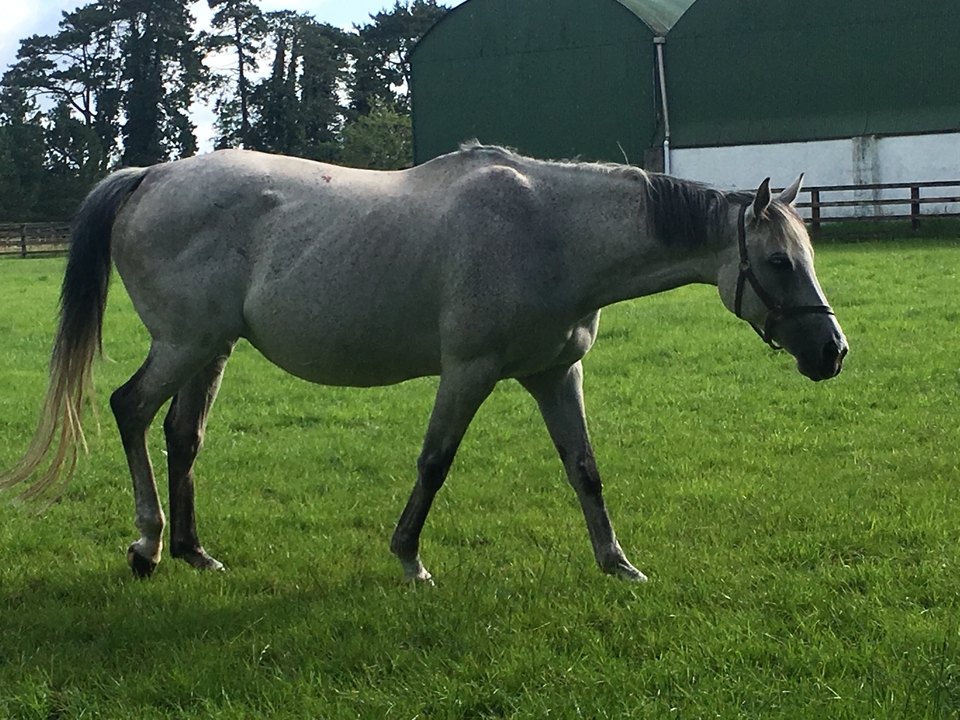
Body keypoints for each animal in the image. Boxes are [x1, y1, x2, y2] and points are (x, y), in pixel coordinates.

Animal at [0, 143, 847, 583]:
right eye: (778, 263)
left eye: (806, 255)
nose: (833, 352)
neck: (547, 230)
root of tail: (149, 175)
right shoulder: (468, 371)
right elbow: (435, 462)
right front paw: (409, 558)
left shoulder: (555, 374)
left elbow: (585, 469)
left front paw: (616, 563)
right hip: (182, 345)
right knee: (130, 410)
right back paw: (146, 546)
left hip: (212, 348)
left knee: (182, 436)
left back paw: (191, 551)